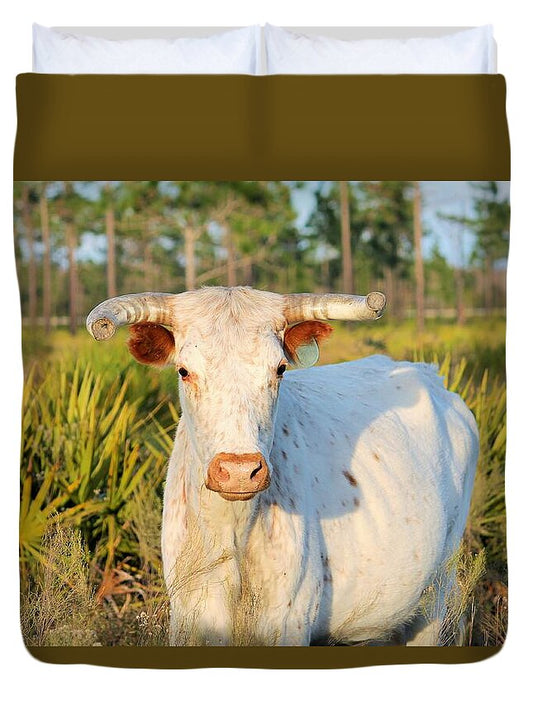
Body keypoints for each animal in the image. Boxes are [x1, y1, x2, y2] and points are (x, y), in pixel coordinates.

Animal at [86, 286, 478, 646]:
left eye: (279, 369)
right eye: (184, 371)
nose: (240, 471)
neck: (234, 534)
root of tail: (431, 376)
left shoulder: (287, 622)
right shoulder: (188, 618)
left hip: (436, 596)